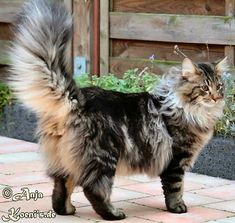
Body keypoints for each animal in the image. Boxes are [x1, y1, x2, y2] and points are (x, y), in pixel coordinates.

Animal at [7, 0, 228, 220]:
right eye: (204, 88)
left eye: (219, 86)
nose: (216, 97)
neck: (191, 109)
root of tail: (76, 98)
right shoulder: (176, 160)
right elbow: (175, 188)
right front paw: (177, 208)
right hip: (103, 158)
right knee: (93, 190)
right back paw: (113, 214)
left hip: (68, 160)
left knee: (61, 186)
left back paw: (67, 210)